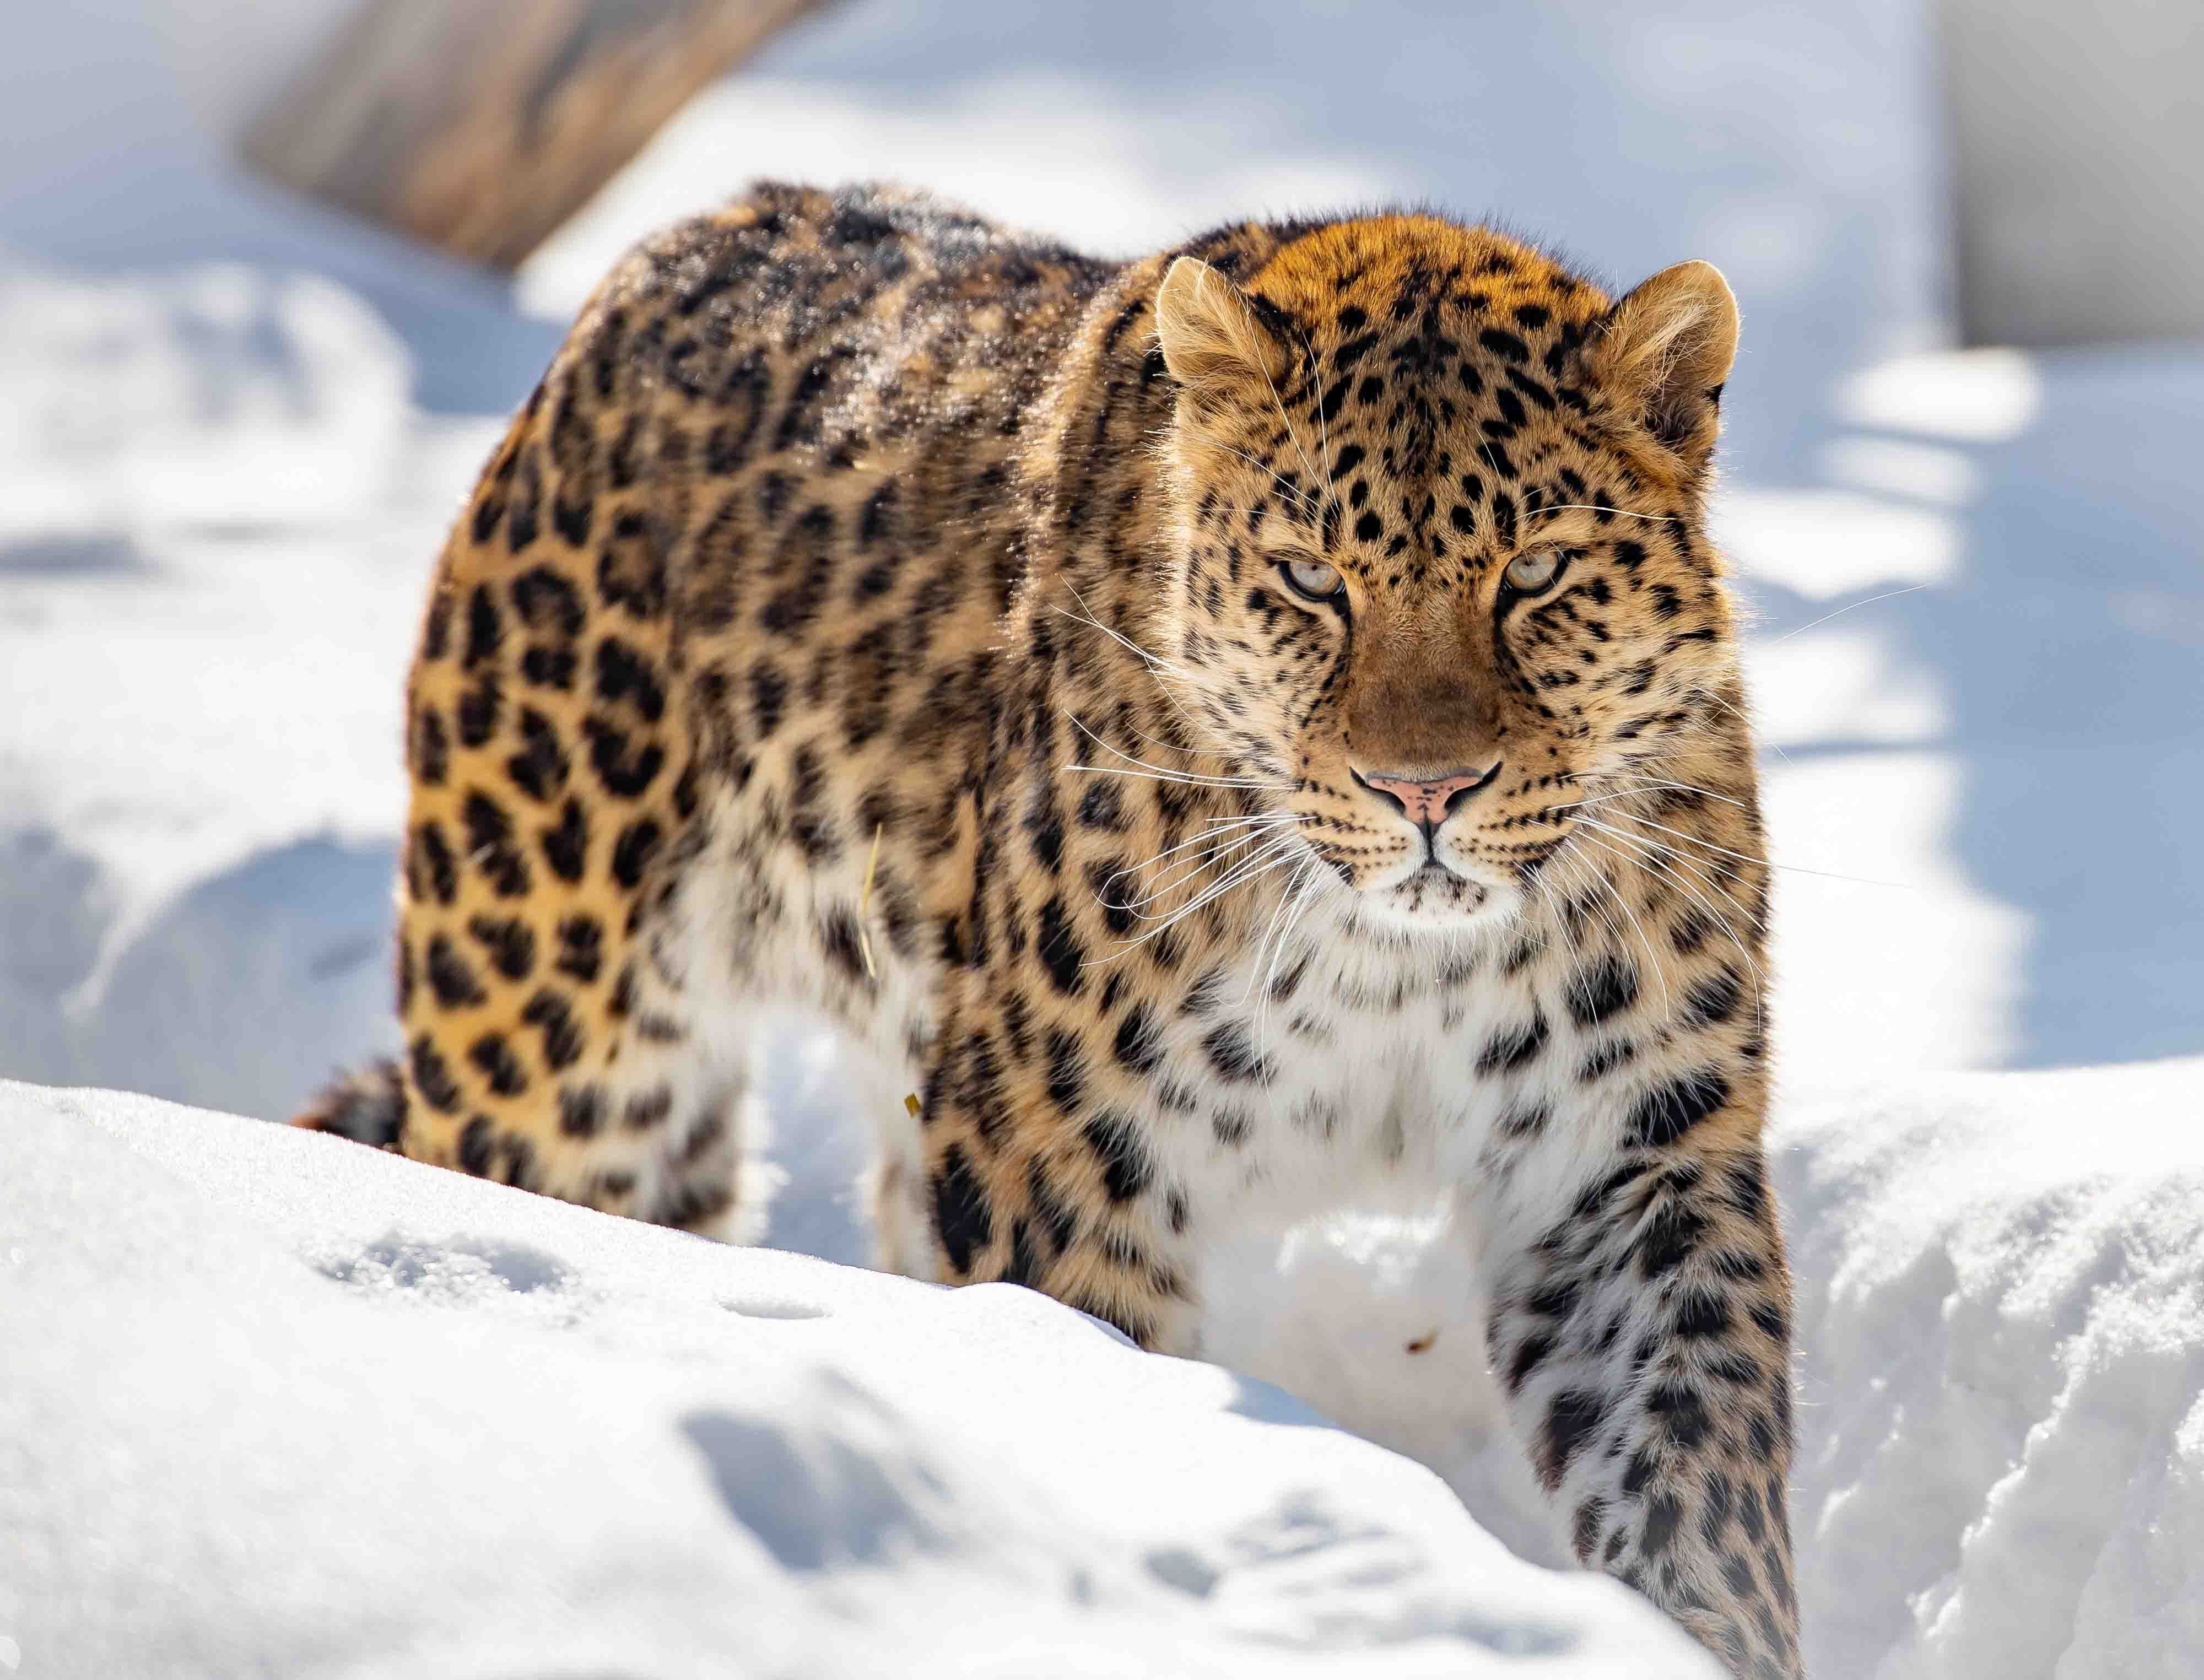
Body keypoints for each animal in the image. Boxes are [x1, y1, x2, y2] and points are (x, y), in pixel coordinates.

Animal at [299, 180, 1800, 1677]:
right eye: (1311, 580)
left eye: (1536, 572)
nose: (1421, 790)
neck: (1396, 960)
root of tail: (678, 246)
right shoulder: (1064, 1155)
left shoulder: (1629, 1156)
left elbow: (1694, 1462)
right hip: (564, 1050)